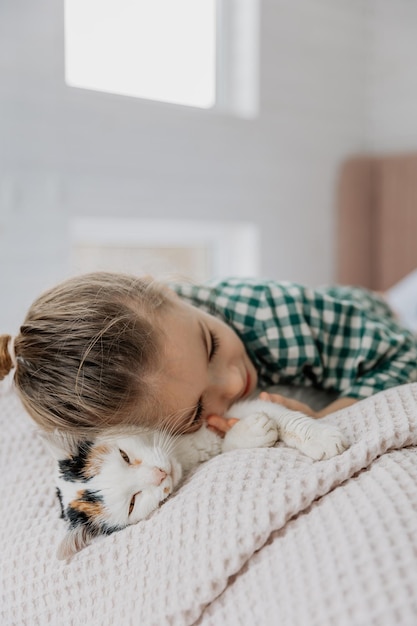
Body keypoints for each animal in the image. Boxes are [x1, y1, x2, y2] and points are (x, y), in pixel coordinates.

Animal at [44, 398, 346, 560]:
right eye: (132, 503)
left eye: (124, 455)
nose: (159, 474)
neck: (183, 453)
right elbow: (228, 444)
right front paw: (251, 433)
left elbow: (286, 418)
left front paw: (321, 437)